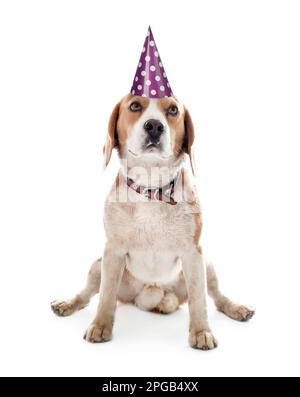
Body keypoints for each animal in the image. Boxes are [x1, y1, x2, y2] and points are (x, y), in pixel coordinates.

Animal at [51, 94, 253, 348]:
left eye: (173, 110)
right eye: (135, 105)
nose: (155, 126)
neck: (152, 186)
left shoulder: (193, 254)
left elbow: (199, 300)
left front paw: (201, 331)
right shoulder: (112, 251)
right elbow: (106, 296)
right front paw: (100, 325)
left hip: (207, 266)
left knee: (217, 298)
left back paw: (236, 308)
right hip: (99, 265)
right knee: (87, 295)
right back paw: (68, 303)